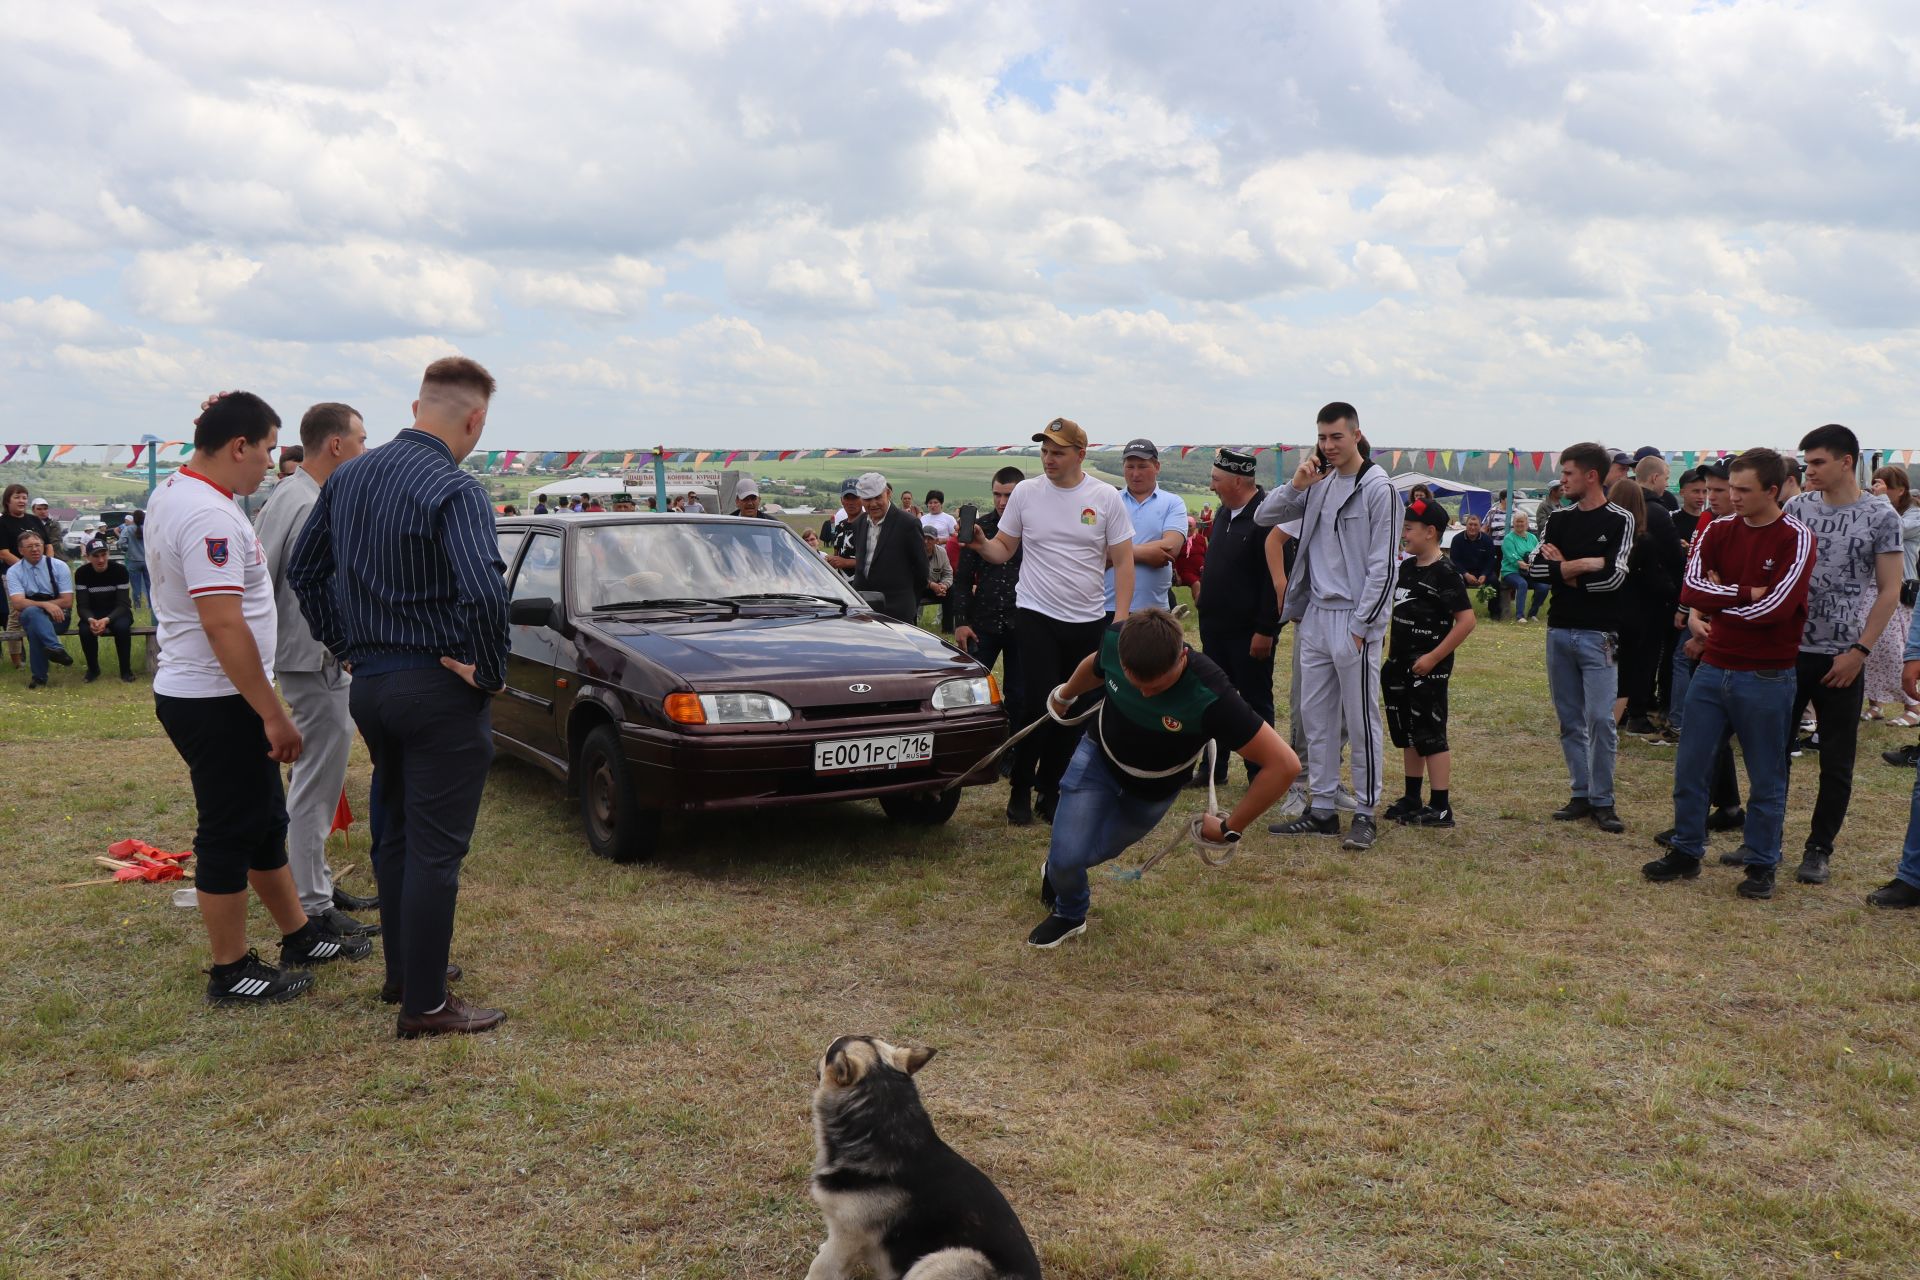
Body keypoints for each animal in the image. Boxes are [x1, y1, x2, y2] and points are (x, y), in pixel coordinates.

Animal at [806, 1036, 1044, 1274]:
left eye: (828, 1051)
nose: (818, 1056)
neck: (882, 1130)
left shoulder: (846, 1237)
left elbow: (819, 1266)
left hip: (942, 1259)